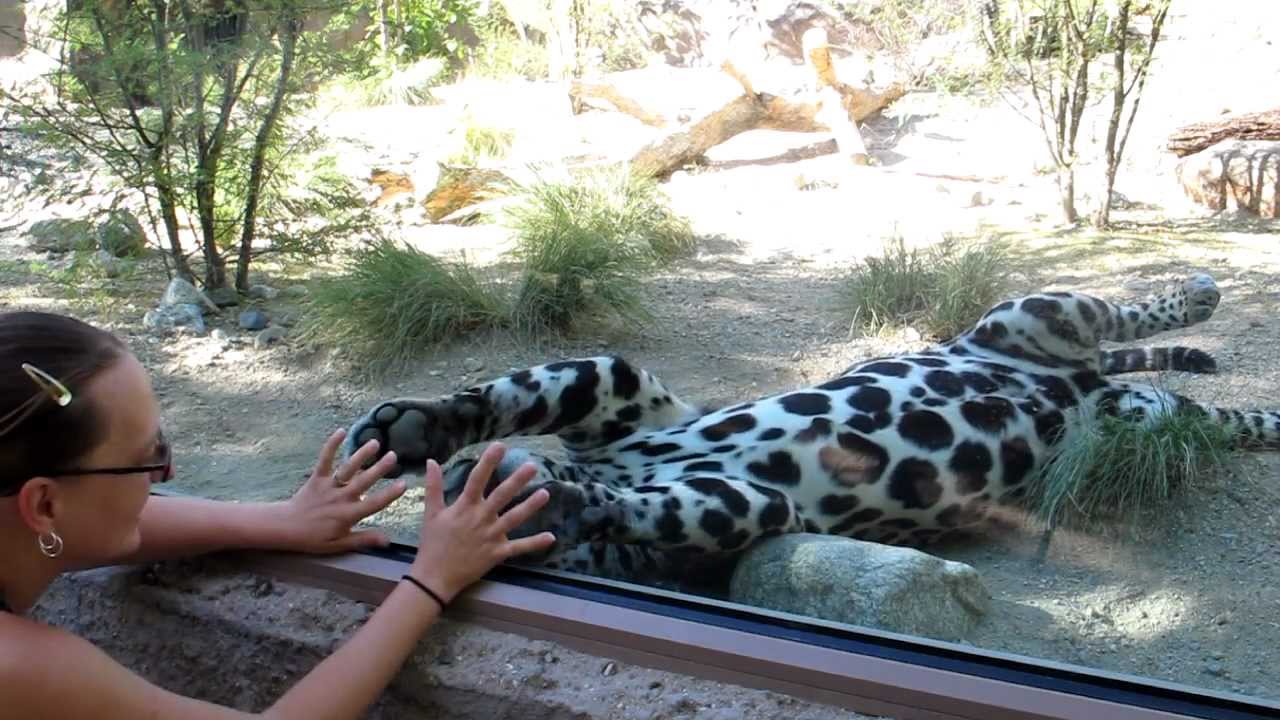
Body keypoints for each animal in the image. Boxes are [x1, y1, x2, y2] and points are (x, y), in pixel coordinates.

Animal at [340, 273, 1278, 590]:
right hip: (1129, 411)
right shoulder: (716, 501)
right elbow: (623, 502)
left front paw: (423, 428)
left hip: (1036, 309)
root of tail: (1075, 383)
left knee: (1126, 313)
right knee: (1208, 414)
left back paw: (1198, 298)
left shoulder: (625, 397)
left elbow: (517, 396)